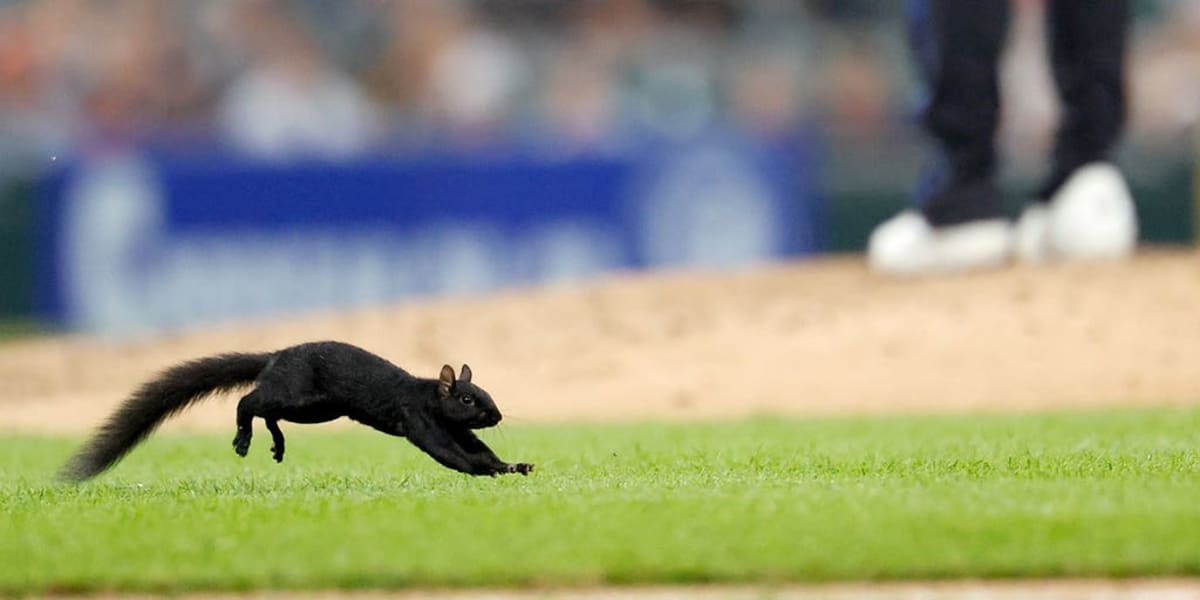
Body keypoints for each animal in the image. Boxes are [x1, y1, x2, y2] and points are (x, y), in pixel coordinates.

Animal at [59, 341, 534, 481]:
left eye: (487, 394)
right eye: (468, 399)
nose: (497, 416)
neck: (429, 398)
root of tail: (273, 357)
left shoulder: (456, 429)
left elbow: (475, 447)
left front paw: (512, 465)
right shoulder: (419, 420)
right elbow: (448, 453)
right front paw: (485, 472)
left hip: (317, 410)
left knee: (267, 410)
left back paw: (276, 444)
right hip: (302, 398)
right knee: (249, 401)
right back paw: (243, 437)